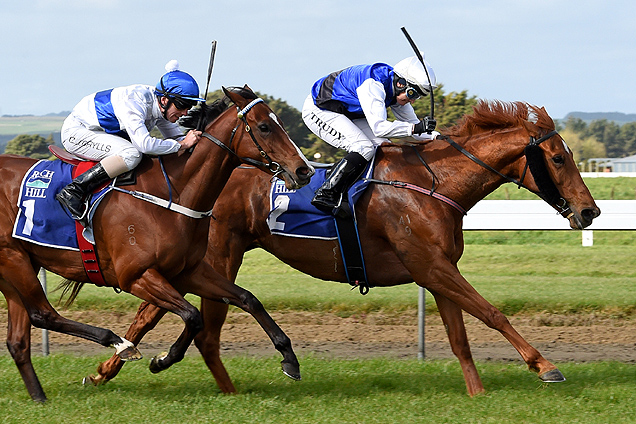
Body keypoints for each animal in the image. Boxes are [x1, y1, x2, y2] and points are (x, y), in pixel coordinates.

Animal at [0, 86, 314, 400]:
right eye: (264, 127)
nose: (304, 170)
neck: (171, 193)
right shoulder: (136, 276)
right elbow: (193, 315)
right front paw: (163, 359)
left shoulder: (189, 271)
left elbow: (248, 299)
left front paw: (289, 358)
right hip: (14, 258)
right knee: (42, 314)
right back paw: (119, 343)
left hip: (16, 267)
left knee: (18, 339)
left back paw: (40, 398)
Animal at [89, 101, 600, 396]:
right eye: (558, 158)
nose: (590, 211)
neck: (434, 182)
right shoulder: (431, 266)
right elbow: (492, 312)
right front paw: (545, 366)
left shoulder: (436, 270)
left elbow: (459, 336)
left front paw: (477, 394)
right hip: (219, 255)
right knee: (193, 325)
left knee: (172, 316)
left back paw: (115, 368)